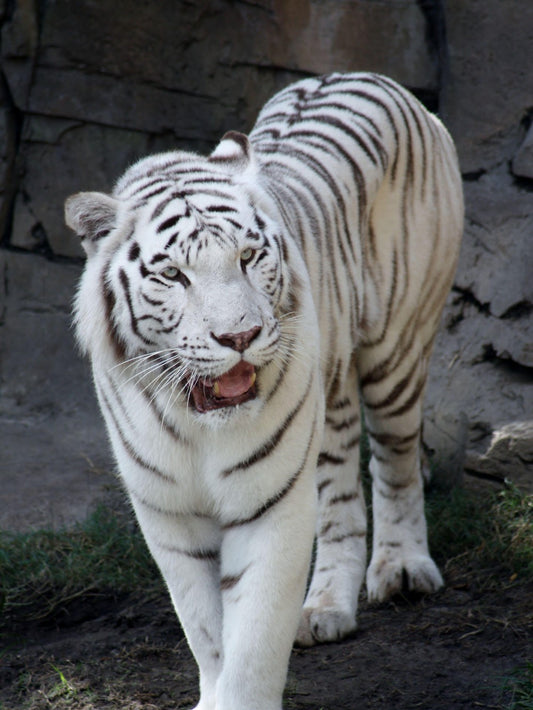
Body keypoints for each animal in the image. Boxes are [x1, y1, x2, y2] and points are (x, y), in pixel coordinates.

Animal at [65, 72, 463, 710]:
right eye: (173, 274)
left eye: (249, 257)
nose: (240, 336)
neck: (199, 425)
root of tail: (365, 75)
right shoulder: (169, 515)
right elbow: (206, 631)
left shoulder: (269, 506)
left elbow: (253, 639)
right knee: (341, 491)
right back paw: (326, 607)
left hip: (397, 349)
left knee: (396, 462)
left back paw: (402, 569)